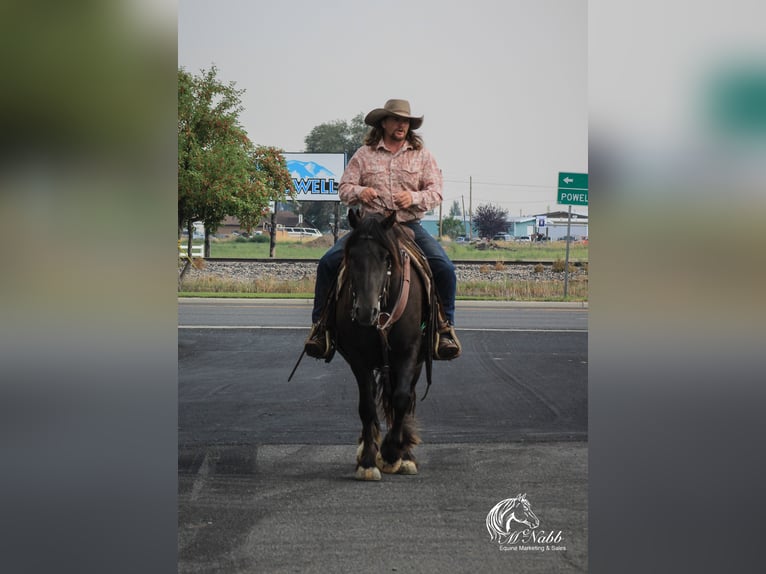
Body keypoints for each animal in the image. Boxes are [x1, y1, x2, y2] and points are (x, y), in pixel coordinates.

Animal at [338, 210, 436, 482]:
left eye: (386, 258)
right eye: (352, 255)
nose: (364, 311)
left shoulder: (409, 352)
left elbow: (401, 399)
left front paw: (392, 454)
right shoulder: (358, 358)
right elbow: (367, 406)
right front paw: (368, 461)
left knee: (404, 397)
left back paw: (405, 454)